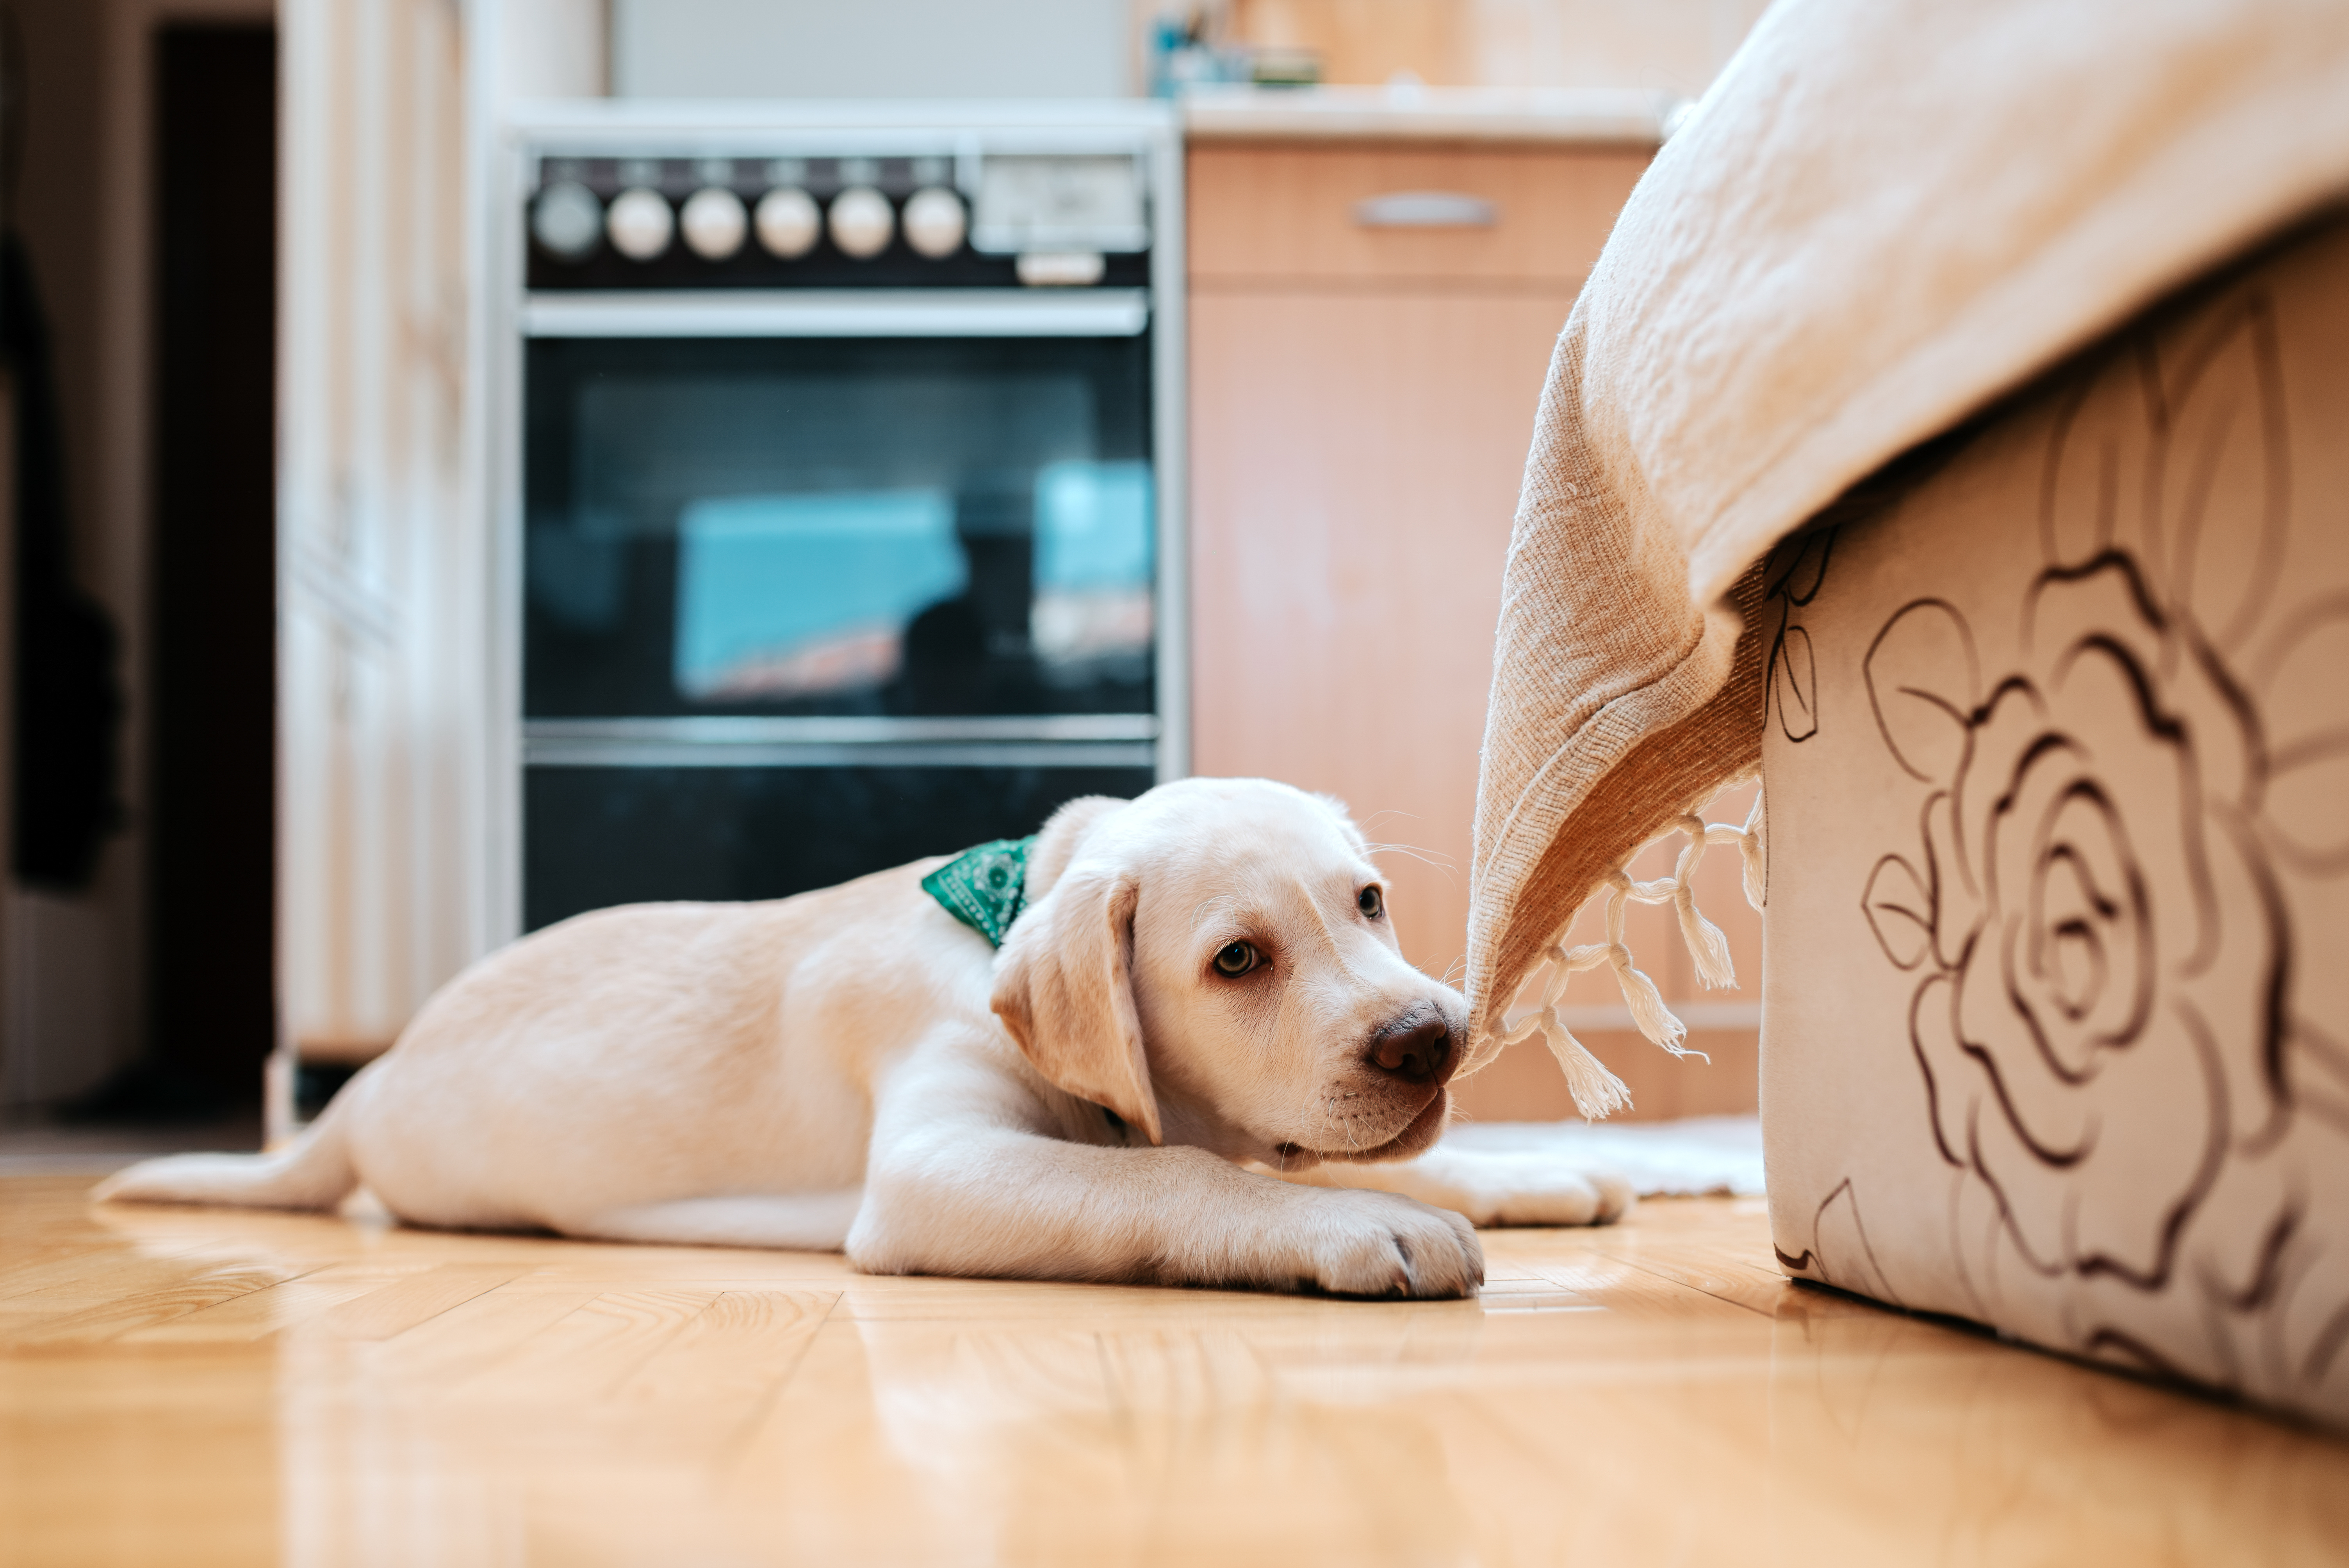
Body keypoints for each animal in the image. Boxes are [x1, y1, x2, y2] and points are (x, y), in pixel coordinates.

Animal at [101, 774, 1625, 1295]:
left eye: (1367, 901)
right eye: (1236, 960)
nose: (1432, 1039)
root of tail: (369, 1083)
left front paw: (1534, 1174)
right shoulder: (937, 1165)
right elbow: (1176, 1175)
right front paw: (1362, 1225)